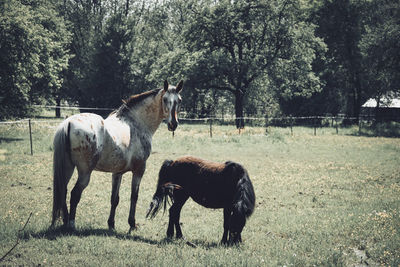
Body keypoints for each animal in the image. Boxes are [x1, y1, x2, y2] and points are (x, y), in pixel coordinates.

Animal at [50, 79, 184, 232]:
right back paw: (71, 224)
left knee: (63, 191)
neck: (136, 123)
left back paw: (65, 221)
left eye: (179, 100)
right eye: (165, 99)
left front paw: (111, 224)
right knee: (74, 194)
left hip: (68, 168)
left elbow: (114, 199)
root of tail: (69, 123)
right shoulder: (139, 170)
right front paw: (132, 224)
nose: (173, 124)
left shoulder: (117, 173)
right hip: (84, 173)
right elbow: (134, 196)